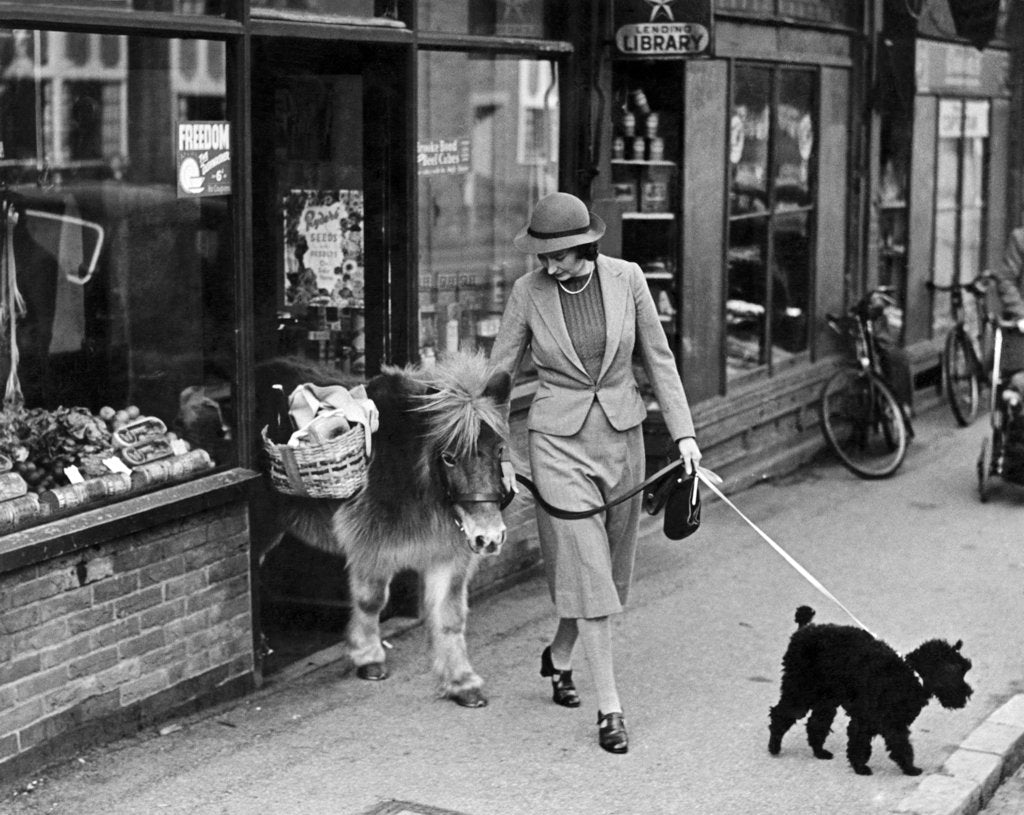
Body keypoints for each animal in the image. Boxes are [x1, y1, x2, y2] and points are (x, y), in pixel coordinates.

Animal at [253, 354, 509, 708]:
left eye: (499, 450)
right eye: (448, 457)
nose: (489, 538)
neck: (418, 477)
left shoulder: (448, 555)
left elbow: (450, 617)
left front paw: (461, 682)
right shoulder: (371, 546)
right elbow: (371, 601)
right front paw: (367, 657)